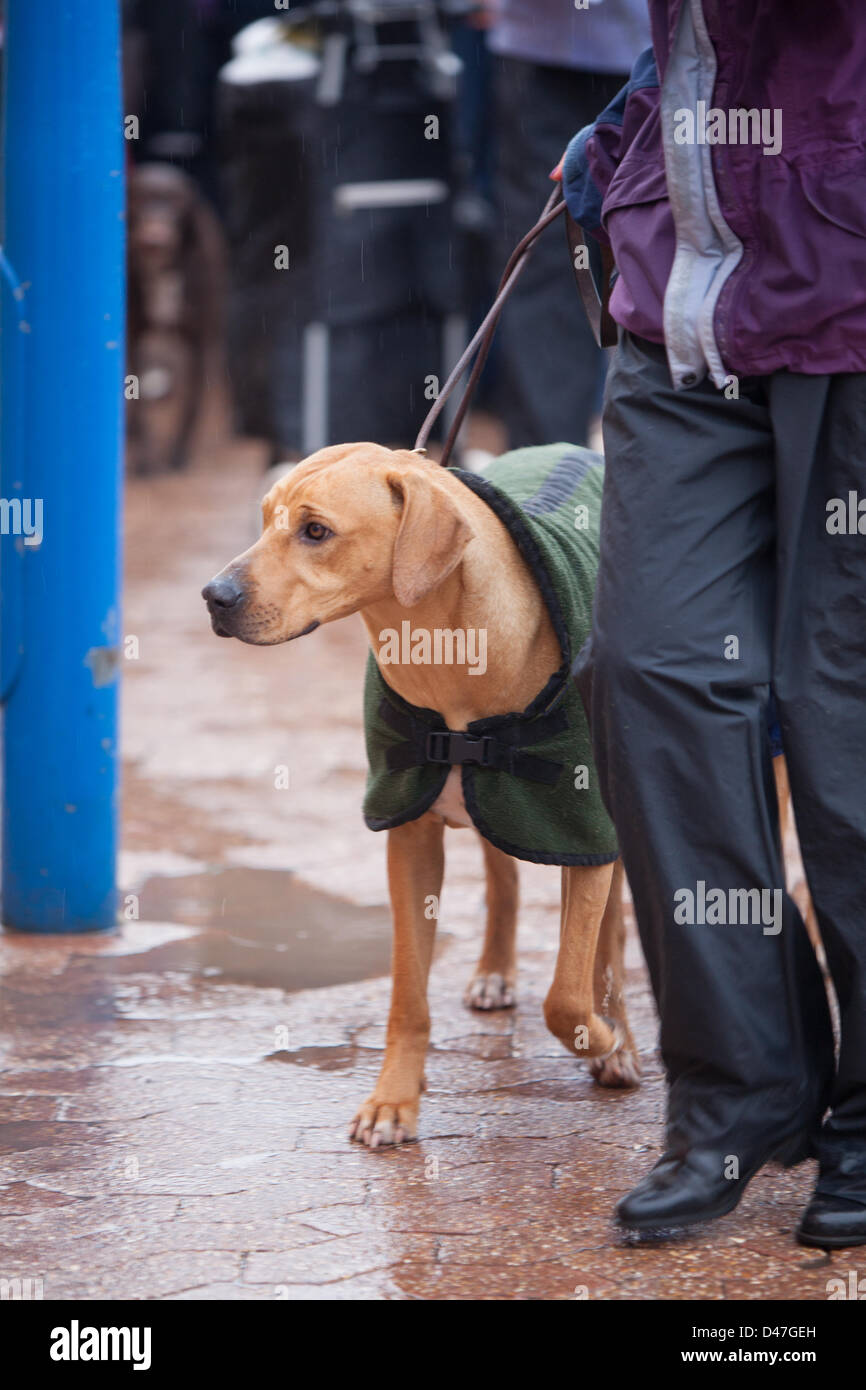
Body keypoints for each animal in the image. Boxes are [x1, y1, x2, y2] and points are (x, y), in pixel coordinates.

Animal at [201, 442, 636, 1139]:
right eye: (266, 518)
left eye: (315, 531)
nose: (213, 596)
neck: (444, 644)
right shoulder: (409, 836)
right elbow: (408, 991)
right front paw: (394, 1100)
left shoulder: (585, 832)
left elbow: (567, 992)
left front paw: (604, 1037)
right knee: (504, 881)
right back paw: (495, 971)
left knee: (610, 933)